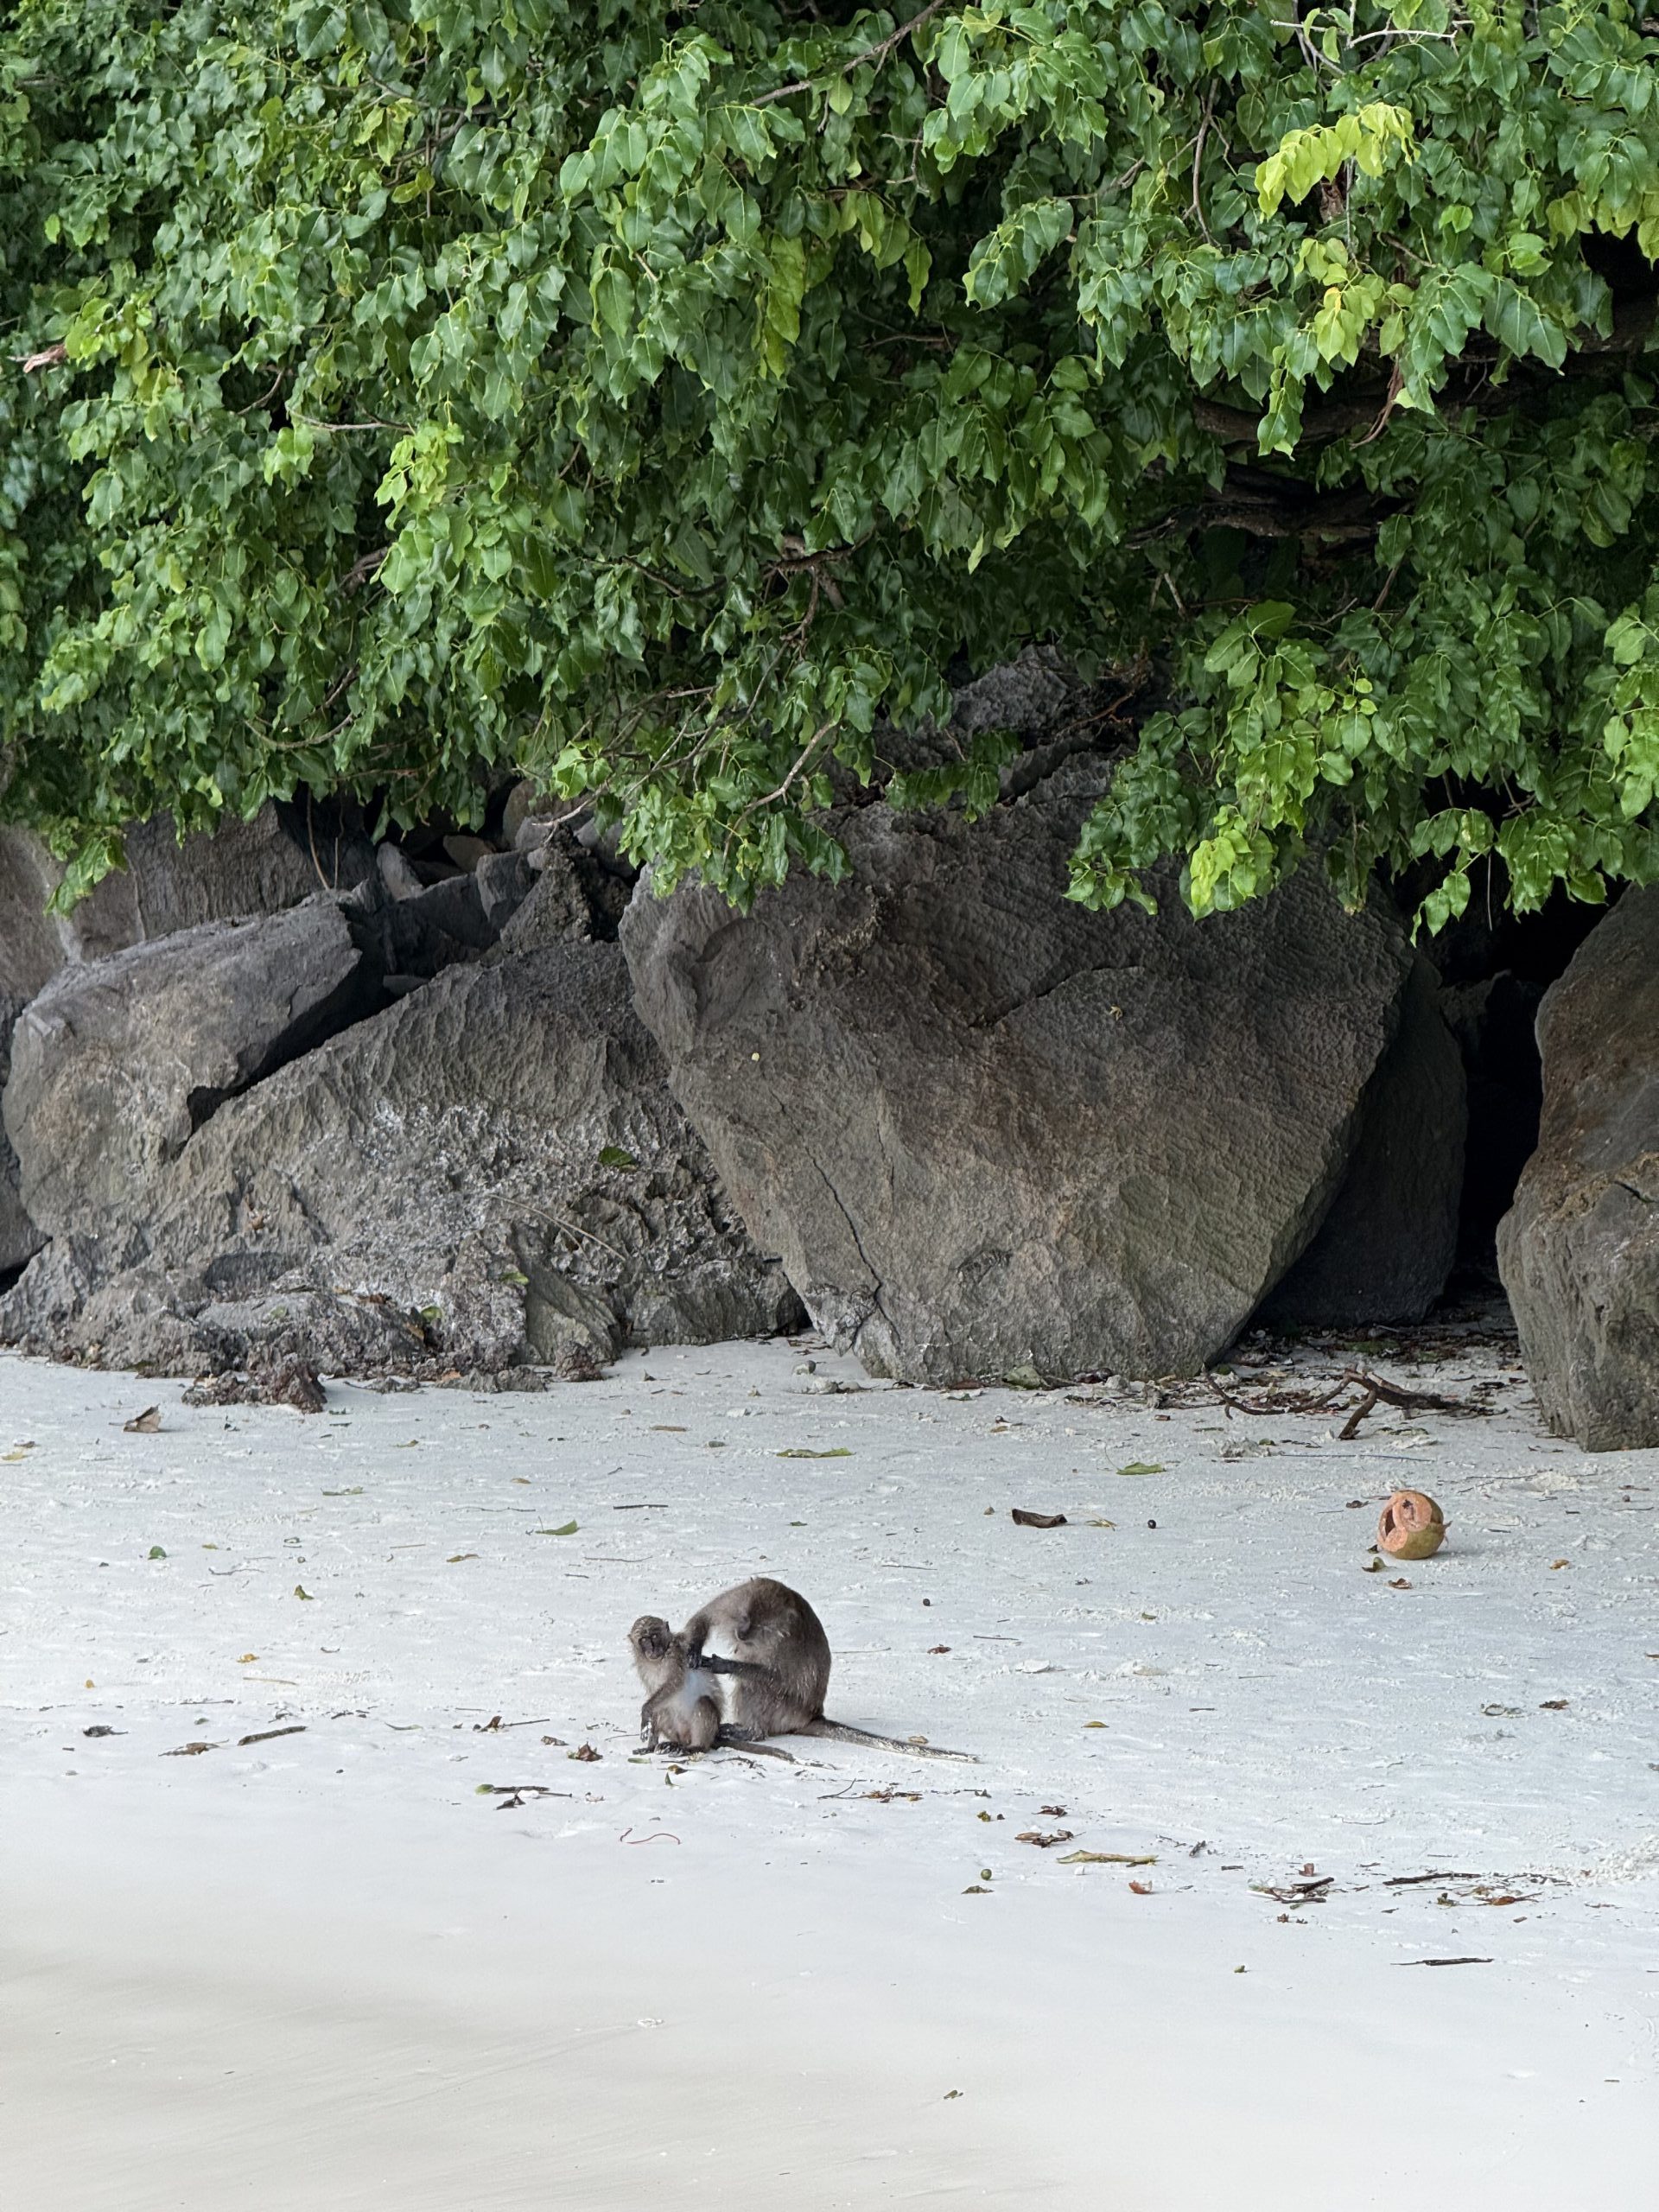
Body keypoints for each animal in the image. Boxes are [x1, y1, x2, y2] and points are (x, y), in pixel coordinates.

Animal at [678, 1577, 977, 1762]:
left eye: (762, 1628)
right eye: (744, 1617)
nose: (741, 1634)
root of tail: (812, 1716)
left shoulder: (786, 1645)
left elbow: (779, 1679)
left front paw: (725, 1664)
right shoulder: (734, 1600)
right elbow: (705, 1616)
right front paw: (694, 1647)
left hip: (786, 1710)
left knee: (755, 1688)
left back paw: (753, 1731)